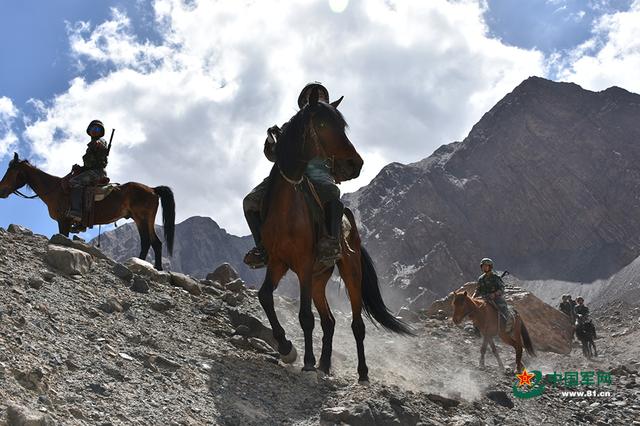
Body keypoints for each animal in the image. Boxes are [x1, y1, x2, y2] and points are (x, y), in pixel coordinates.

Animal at [0, 152, 175, 270]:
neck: (56, 189)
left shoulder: (63, 222)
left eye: (12, 171)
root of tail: (152, 189)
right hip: (144, 220)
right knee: (153, 242)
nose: (1, 190)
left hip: (142, 218)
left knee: (149, 242)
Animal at [258, 88, 412, 384]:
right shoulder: (278, 262)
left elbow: (305, 316)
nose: (355, 164)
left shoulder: (304, 264)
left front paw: (306, 361)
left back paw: (361, 373)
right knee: (329, 321)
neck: (287, 209)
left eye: (342, 125)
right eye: (321, 124)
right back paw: (325, 364)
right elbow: (265, 297)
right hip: (319, 279)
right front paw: (286, 348)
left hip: (350, 271)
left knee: (357, 324)